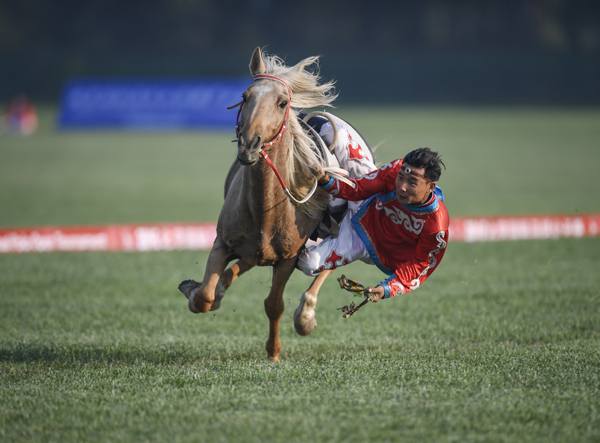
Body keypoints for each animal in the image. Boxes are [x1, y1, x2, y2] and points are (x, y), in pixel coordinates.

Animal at [177, 46, 346, 362]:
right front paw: (196, 292)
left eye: (282, 103)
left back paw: (306, 316)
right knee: (239, 267)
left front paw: (274, 352)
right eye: (245, 96)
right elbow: (205, 296)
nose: (250, 145)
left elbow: (274, 304)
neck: (266, 210)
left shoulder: (288, 258)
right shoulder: (223, 242)